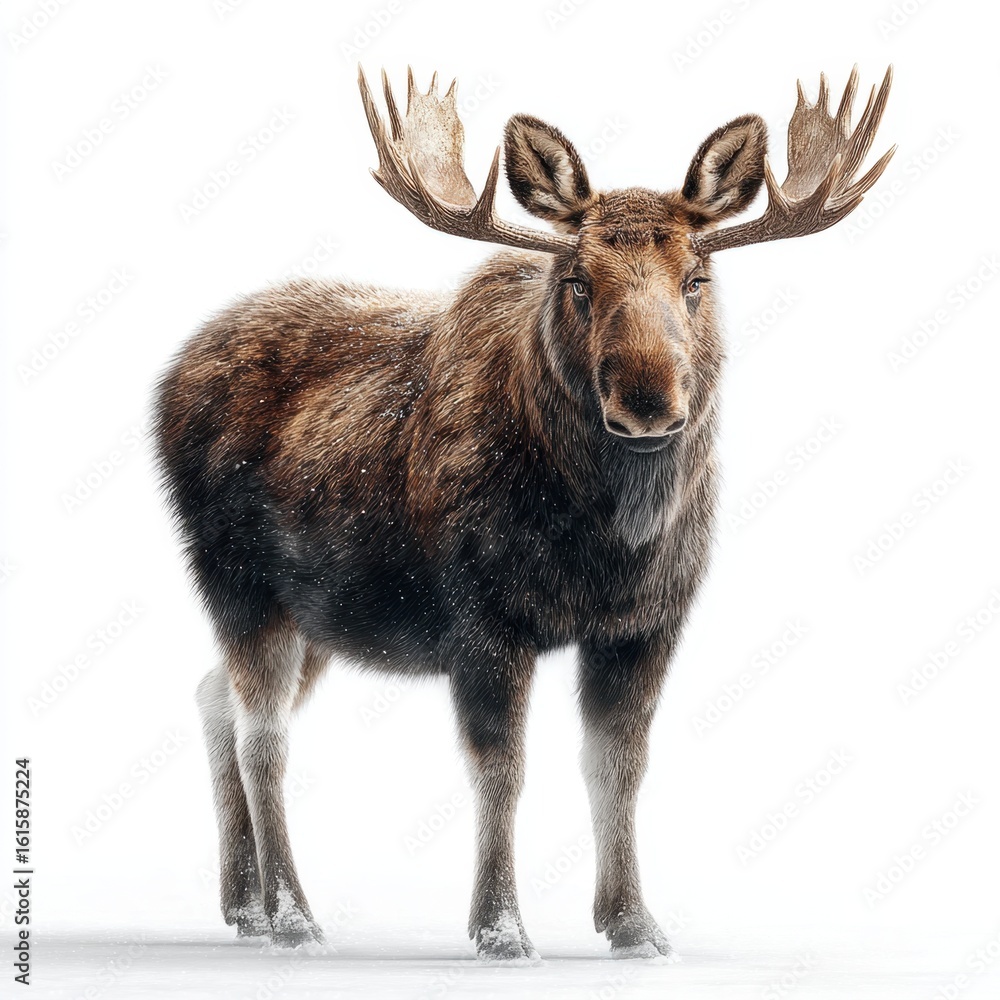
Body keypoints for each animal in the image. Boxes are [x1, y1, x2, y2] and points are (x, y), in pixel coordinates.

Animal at [154, 65, 893, 961]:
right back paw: (294, 916)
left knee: (212, 695)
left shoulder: (649, 623)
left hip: (318, 615)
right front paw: (501, 929)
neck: (607, 545)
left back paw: (247, 907)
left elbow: (618, 765)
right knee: (264, 737)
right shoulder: (483, 617)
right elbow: (501, 769)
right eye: (577, 282)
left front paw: (633, 925)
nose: (648, 401)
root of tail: (167, 379)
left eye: (697, 280)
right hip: (238, 582)